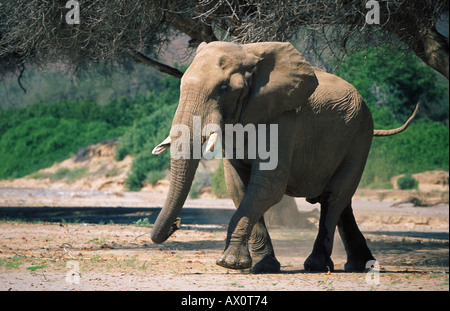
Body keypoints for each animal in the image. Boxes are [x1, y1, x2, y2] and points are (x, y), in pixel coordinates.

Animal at [149, 40, 418, 272]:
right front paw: (260, 266)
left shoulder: (283, 118)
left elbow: (269, 186)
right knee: (343, 202)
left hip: (359, 137)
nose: (177, 224)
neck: (248, 54)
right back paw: (359, 266)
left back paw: (317, 265)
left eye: (224, 88)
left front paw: (228, 262)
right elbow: (238, 186)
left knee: (334, 198)